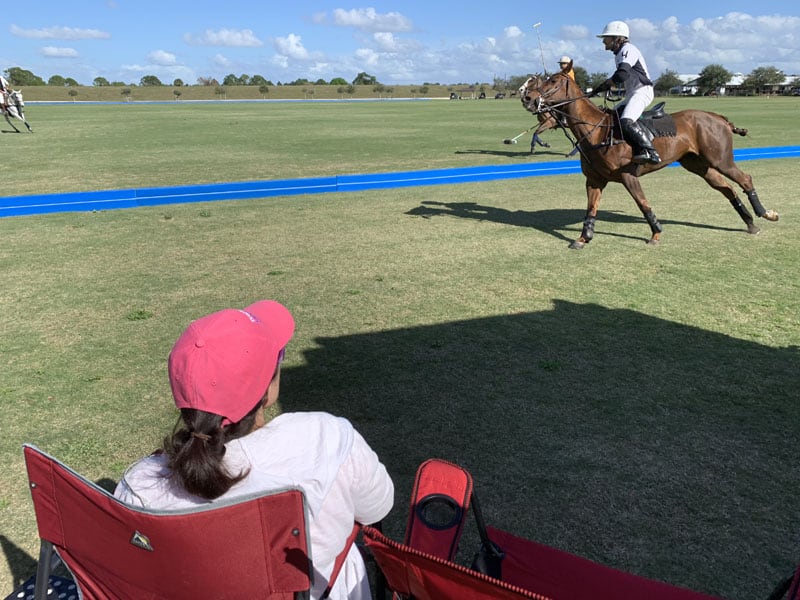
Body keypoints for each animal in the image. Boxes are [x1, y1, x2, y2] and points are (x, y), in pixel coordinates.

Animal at [520, 74, 776, 248]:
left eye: (552, 82)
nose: (529, 98)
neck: (597, 131)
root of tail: (720, 118)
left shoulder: (628, 175)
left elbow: (642, 203)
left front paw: (656, 233)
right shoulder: (594, 180)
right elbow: (591, 209)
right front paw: (583, 238)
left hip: (720, 159)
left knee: (745, 179)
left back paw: (766, 214)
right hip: (699, 165)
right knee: (727, 188)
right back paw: (750, 223)